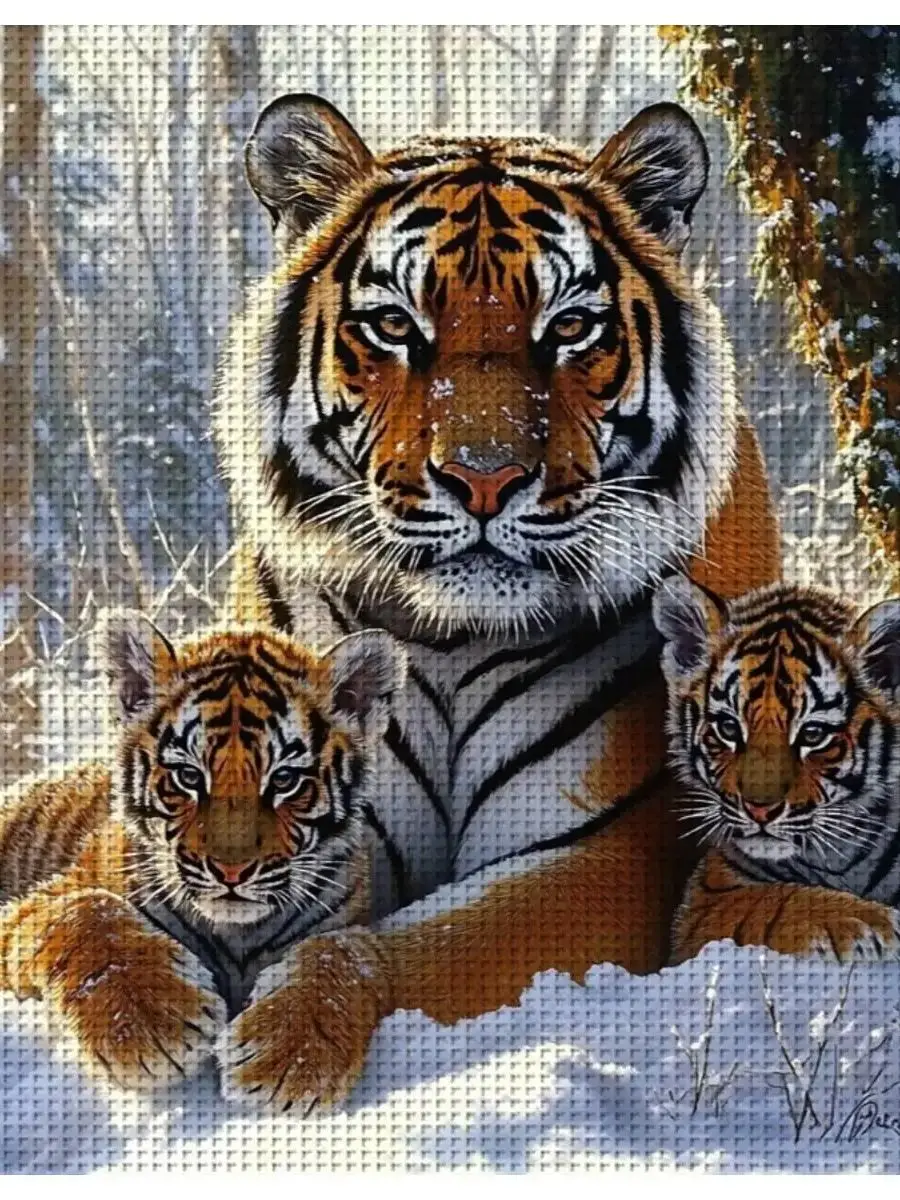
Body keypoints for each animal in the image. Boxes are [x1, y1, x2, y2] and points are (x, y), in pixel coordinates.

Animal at [0, 611, 402, 1092]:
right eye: (189, 777)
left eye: (284, 780)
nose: (231, 872)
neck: (237, 936)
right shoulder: (38, 905)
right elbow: (89, 912)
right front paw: (150, 1021)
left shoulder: (350, 922)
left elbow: (338, 952)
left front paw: (294, 1055)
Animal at [653, 577, 900, 965]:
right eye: (728, 728)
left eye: (813, 734)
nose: (759, 810)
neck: (840, 859)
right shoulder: (705, 902)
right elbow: (770, 901)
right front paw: (869, 921)